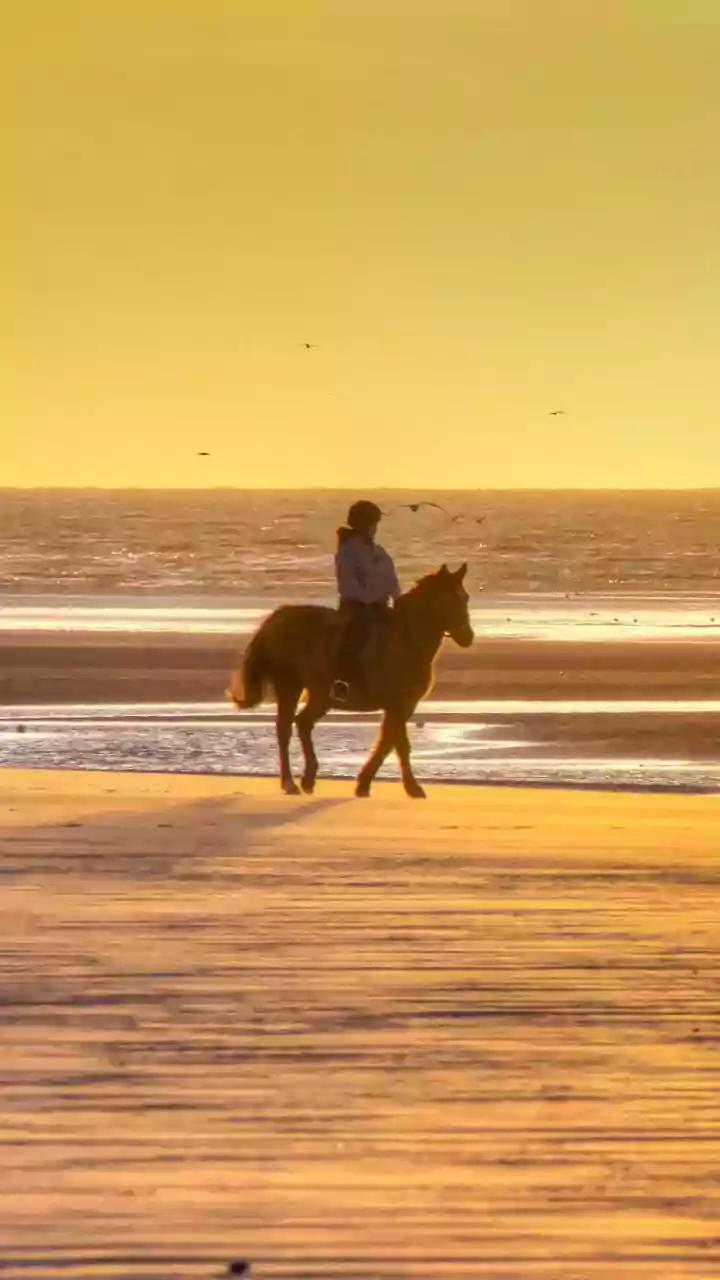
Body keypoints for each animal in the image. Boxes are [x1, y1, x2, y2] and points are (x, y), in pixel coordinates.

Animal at [227, 563, 473, 799]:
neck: (406, 639)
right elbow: (399, 744)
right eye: (447, 599)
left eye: (465, 598)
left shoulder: (402, 706)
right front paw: (413, 788)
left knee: (301, 724)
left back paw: (307, 780)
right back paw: (290, 783)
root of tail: (276, 619)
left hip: (317, 695)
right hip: (290, 686)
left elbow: (387, 742)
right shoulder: (397, 704)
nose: (468, 637)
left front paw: (364, 784)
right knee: (285, 730)